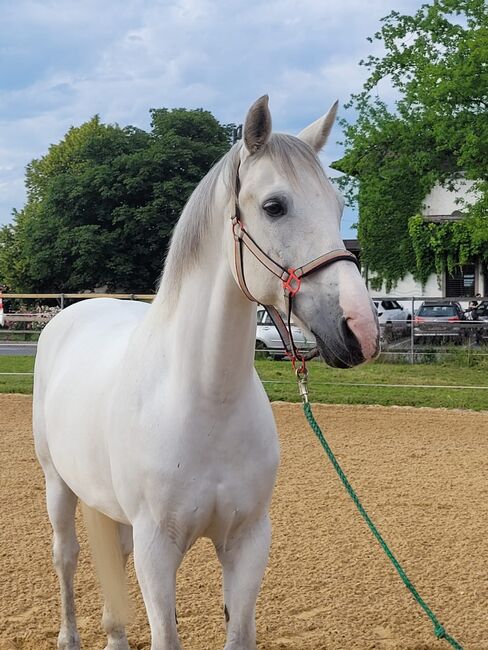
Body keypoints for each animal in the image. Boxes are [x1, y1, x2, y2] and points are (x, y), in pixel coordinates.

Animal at [32, 93, 380, 644]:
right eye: (274, 206)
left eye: (339, 205)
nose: (360, 329)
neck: (205, 400)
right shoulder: (157, 550)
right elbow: (165, 634)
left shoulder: (248, 541)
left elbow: (238, 634)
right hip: (57, 485)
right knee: (65, 555)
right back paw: (69, 636)